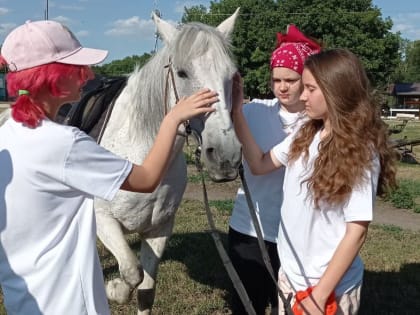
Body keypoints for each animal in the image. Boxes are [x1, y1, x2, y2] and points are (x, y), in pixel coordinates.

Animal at [93, 8, 241, 314]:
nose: (226, 157)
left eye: (231, 76)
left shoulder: (159, 228)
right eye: (182, 73)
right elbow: (131, 271)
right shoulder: (103, 218)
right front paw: (113, 289)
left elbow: (145, 289)